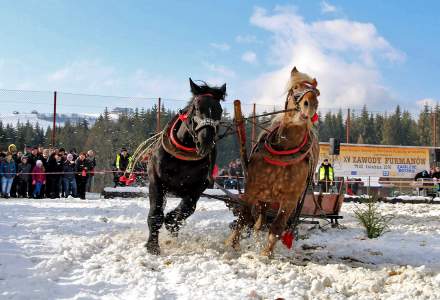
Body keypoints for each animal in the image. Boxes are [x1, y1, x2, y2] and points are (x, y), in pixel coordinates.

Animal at [146, 78, 225, 254]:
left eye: (220, 110)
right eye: (197, 107)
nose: (206, 141)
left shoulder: (199, 186)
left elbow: (187, 208)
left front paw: (171, 222)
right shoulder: (156, 180)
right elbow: (156, 213)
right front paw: (153, 245)